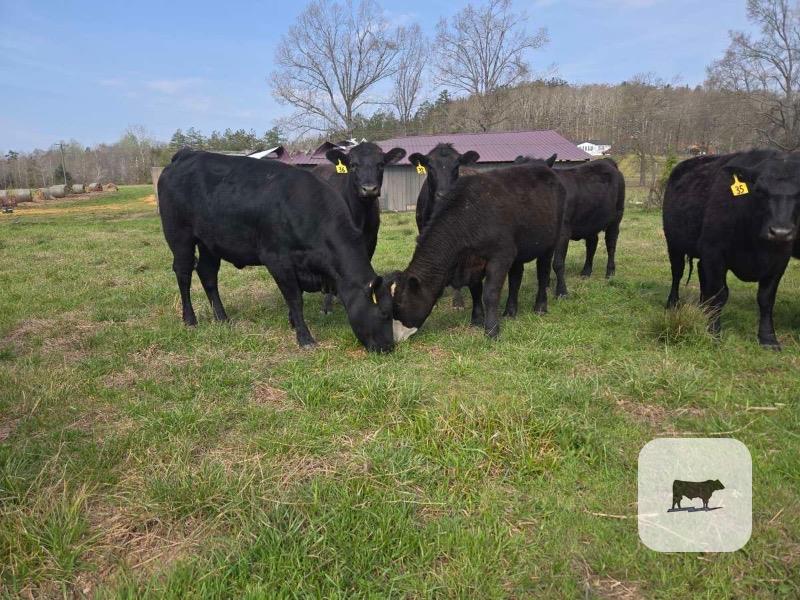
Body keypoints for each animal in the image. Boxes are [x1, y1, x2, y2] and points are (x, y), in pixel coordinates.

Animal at [386, 163, 566, 339]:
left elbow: (490, 293)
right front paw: (477, 320)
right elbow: (476, 291)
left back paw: (540, 307)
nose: (393, 337)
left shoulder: (500, 257)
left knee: (543, 273)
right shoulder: (473, 263)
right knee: (516, 278)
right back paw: (510, 311)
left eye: (399, 303)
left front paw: (492, 330)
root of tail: (543, 168)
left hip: (549, 244)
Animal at [663, 149, 800, 349]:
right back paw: (673, 304)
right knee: (677, 274)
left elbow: (766, 299)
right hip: (674, 244)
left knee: (701, 274)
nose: (780, 232)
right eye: (759, 190)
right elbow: (720, 294)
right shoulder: (715, 253)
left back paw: (703, 309)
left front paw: (768, 339)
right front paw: (713, 332)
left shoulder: (779, 261)